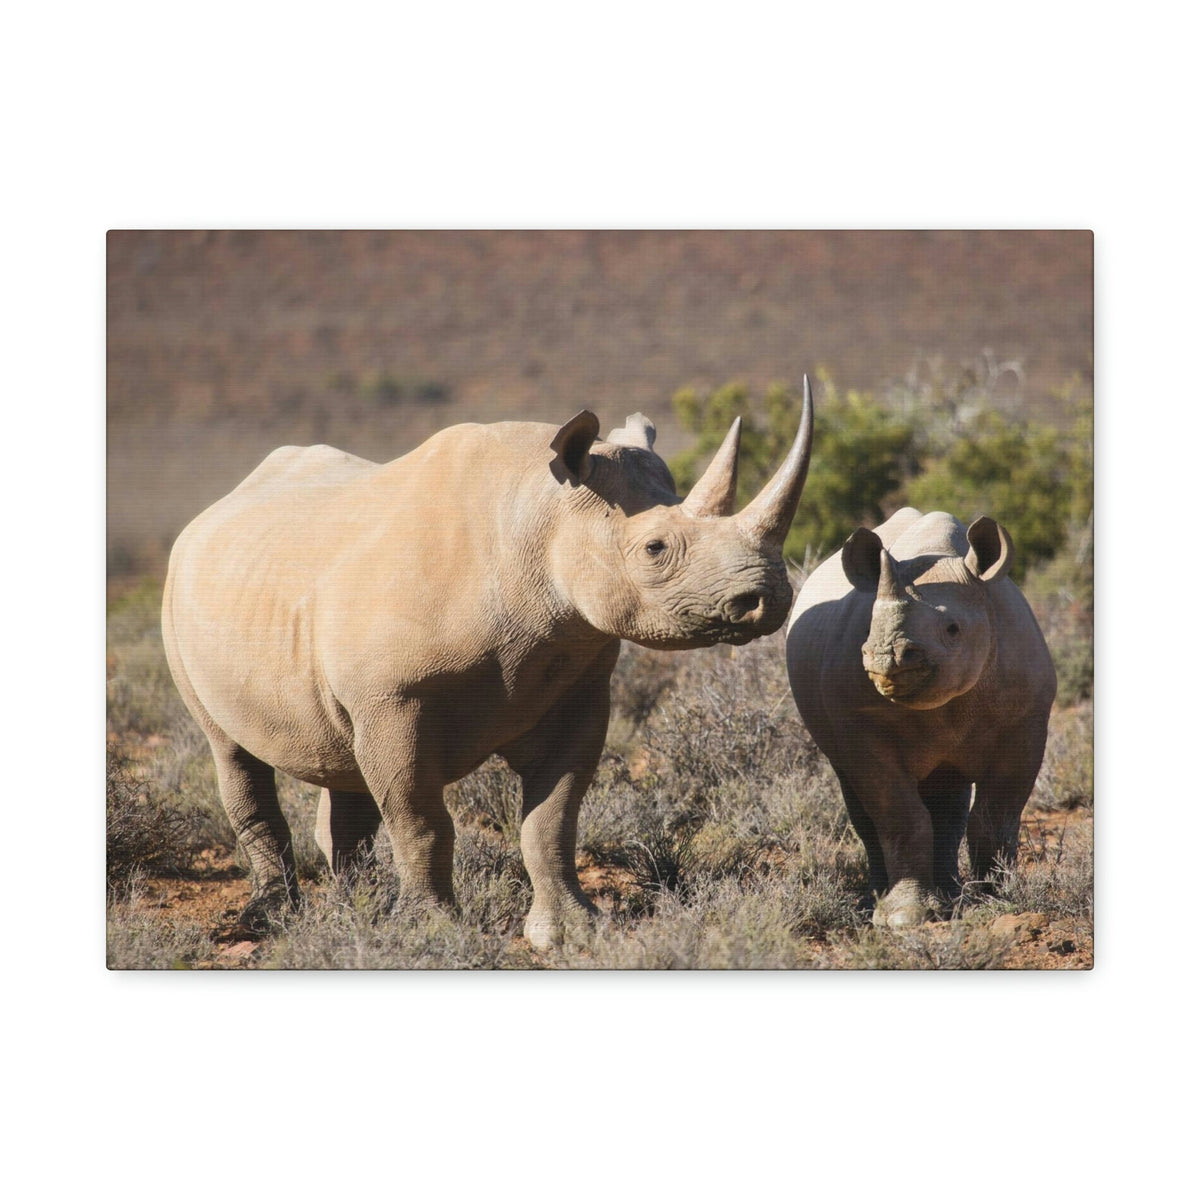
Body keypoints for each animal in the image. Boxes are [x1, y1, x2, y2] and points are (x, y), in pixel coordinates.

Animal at [163, 381, 813, 948]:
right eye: (654, 549)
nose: (769, 597)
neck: (539, 519)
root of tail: (213, 511)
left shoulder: (577, 686)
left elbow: (553, 817)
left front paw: (570, 932)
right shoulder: (394, 699)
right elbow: (420, 819)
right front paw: (429, 930)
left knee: (340, 762)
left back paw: (357, 907)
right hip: (180, 595)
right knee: (231, 750)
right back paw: (273, 917)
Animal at [785, 507, 1056, 927]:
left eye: (953, 629)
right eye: (869, 627)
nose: (886, 656)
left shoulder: (1025, 723)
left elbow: (996, 815)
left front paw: (998, 899)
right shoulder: (859, 729)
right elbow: (900, 816)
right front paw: (903, 918)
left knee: (949, 796)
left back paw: (952, 898)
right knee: (861, 800)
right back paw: (880, 902)